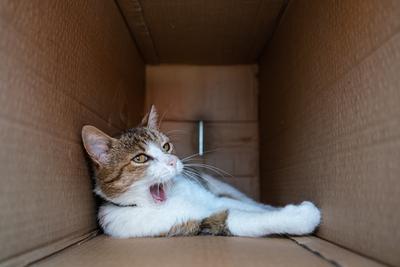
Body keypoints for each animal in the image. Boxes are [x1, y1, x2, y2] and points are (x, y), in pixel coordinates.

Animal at [81, 105, 322, 238]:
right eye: (140, 158)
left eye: (166, 147)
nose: (173, 162)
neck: (170, 200)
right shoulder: (194, 223)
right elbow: (243, 220)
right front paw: (302, 216)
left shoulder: (213, 198)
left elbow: (250, 208)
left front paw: (286, 209)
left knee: (248, 201)